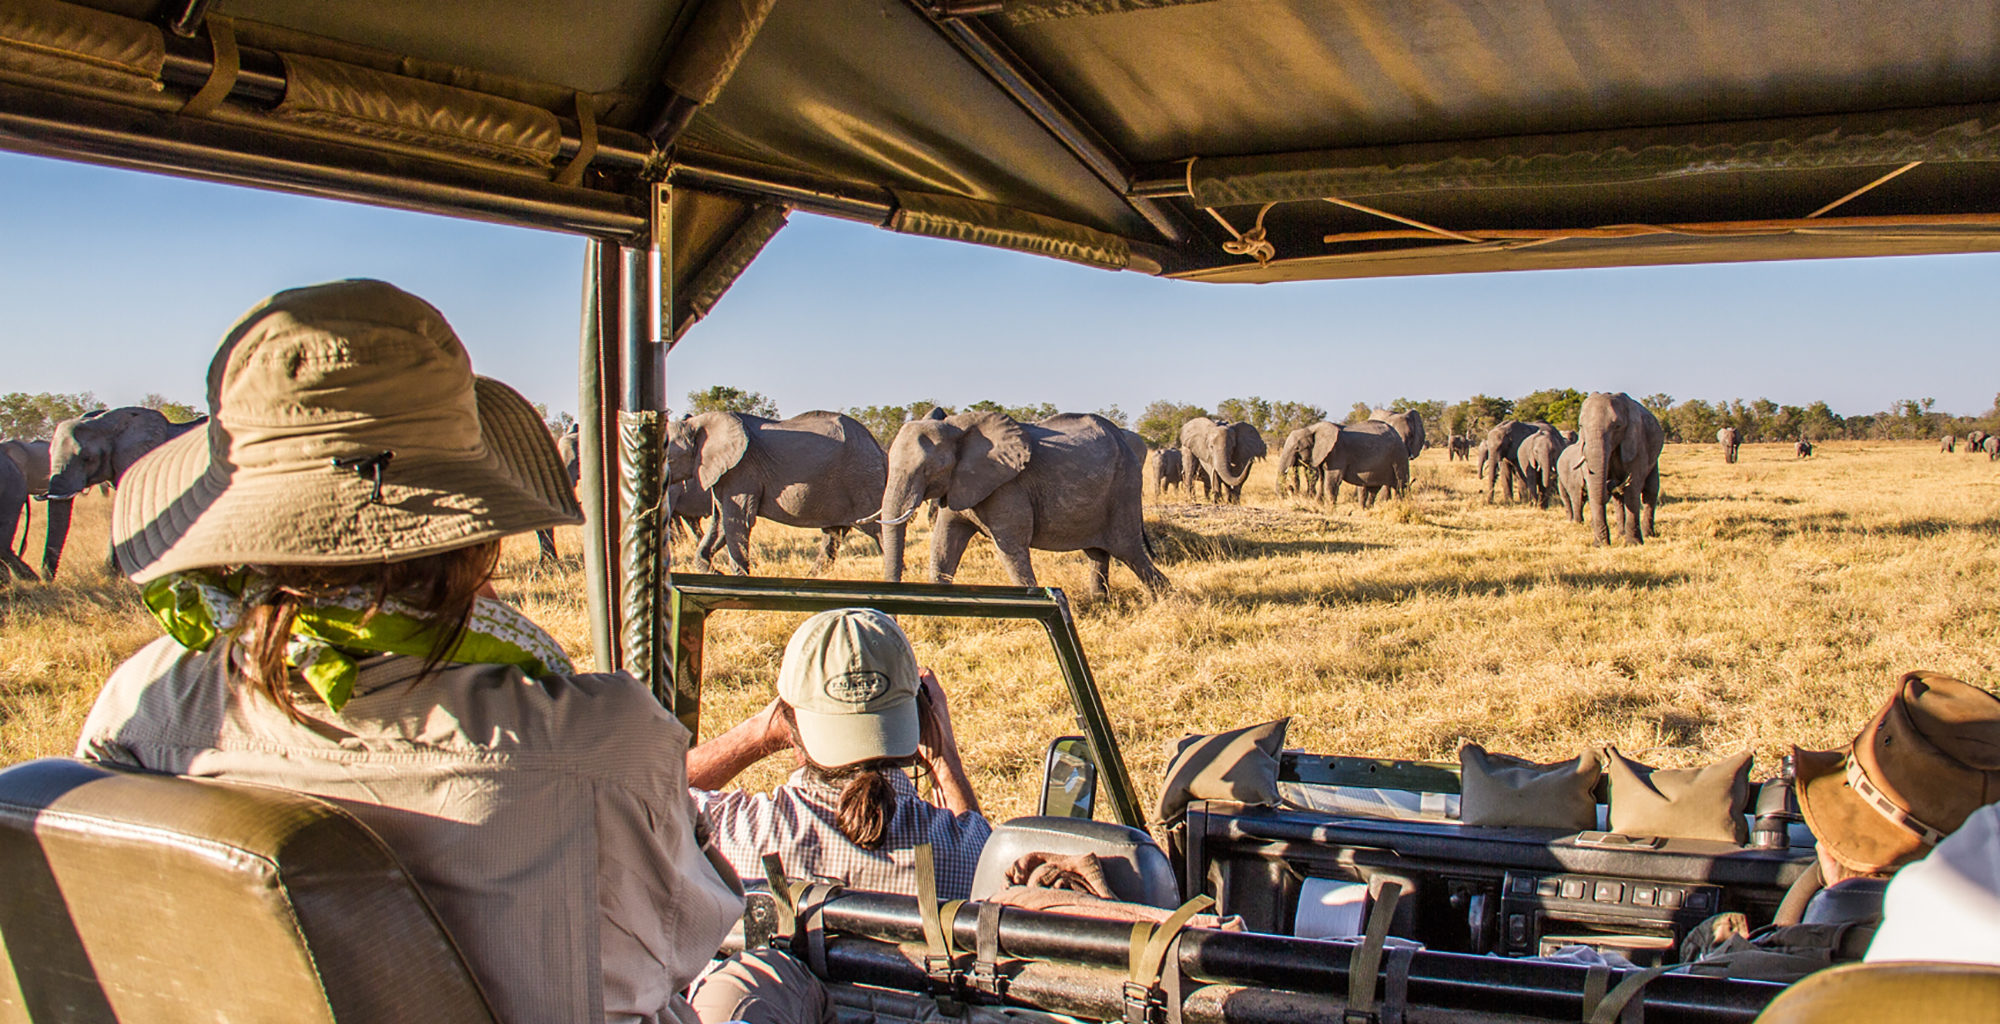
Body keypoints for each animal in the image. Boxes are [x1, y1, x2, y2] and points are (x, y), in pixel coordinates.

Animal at [668, 408, 888, 576]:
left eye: (668, 458)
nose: (719, 571)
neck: (698, 422)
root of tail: (877, 446)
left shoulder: (741, 471)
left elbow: (738, 520)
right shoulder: (725, 475)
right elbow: (722, 521)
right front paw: (715, 573)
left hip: (863, 478)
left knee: (877, 529)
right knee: (832, 534)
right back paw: (811, 578)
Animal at [880, 410, 1168, 596]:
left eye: (930, 468)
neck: (957, 426)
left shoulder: (1007, 488)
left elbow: (1011, 549)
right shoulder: (960, 485)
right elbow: (944, 543)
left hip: (1124, 488)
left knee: (1129, 552)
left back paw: (1167, 599)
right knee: (1099, 554)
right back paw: (1100, 602)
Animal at [1264, 420, 1408, 508]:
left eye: (1297, 448)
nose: (1290, 488)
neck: (1312, 428)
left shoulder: (1337, 452)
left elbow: (1332, 479)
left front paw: (1330, 507)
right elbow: (1322, 477)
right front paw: (1319, 503)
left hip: (1399, 456)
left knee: (1401, 484)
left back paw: (1400, 505)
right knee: (1374, 488)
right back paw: (1367, 509)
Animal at [1568, 390, 1664, 544]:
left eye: (1617, 426)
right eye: (1581, 426)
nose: (1611, 482)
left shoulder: (1636, 442)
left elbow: (1633, 489)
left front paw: (1633, 544)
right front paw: (1600, 545)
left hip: (1654, 458)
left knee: (1650, 491)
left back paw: (1649, 535)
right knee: (1618, 498)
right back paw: (1621, 534)